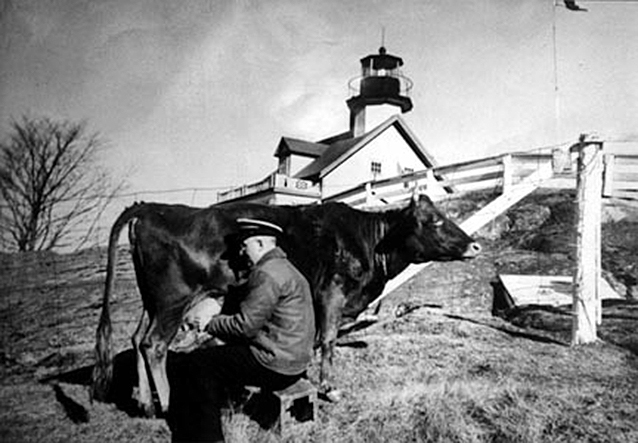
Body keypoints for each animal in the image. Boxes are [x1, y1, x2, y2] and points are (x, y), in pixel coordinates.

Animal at [90, 193, 480, 416]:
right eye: (435, 221)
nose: (475, 245)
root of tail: (150, 209)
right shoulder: (332, 293)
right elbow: (328, 341)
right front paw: (328, 388)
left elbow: (313, 341)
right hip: (174, 297)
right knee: (155, 344)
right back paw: (168, 404)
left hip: (152, 299)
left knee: (137, 339)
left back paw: (144, 402)